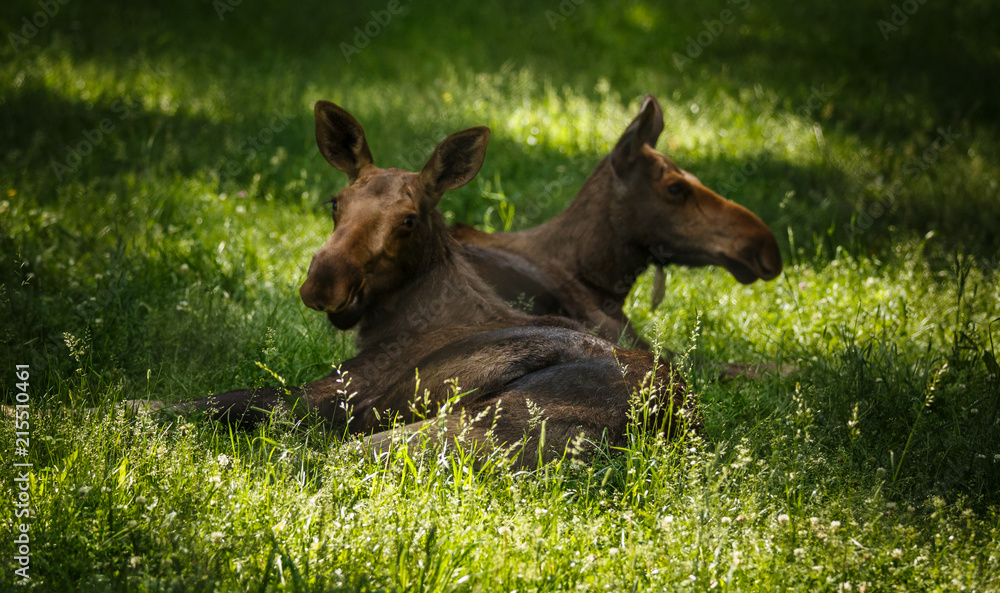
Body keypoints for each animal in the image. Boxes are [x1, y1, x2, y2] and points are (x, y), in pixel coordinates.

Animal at [175, 101, 695, 468]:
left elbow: (203, 401)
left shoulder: (334, 395)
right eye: (335, 202)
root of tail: (659, 424)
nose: (324, 281)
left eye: (408, 220)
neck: (392, 322)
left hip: (437, 431)